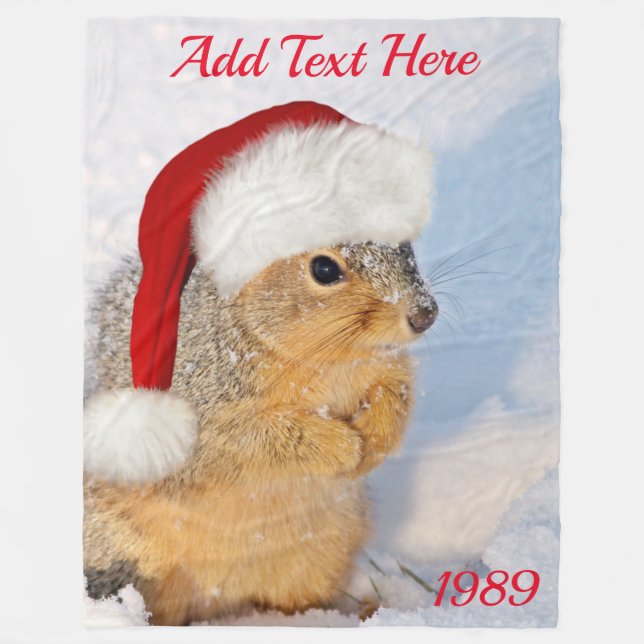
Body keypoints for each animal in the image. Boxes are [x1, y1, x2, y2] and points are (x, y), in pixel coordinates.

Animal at [84, 240, 437, 625]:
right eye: (325, 269)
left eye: (406, 244)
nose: (425, 314)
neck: (328, 361)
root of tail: (220, 599)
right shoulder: (200, 410)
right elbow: (257, 441)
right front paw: (343, 446)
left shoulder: (386, 368)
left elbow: (395, 397)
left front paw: (374, 441)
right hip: (125, 557)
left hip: (321, 557)